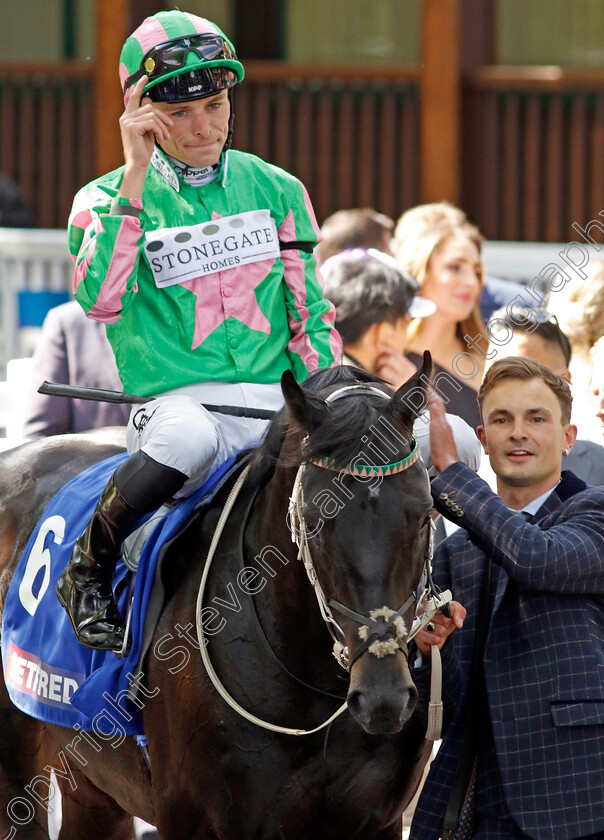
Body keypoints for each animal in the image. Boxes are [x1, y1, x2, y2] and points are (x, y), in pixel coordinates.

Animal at [2, 356, 442, 840]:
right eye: (312, 521)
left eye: (425, 515)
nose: (383, 697)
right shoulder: (189, 817)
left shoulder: (379, 822)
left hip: (95, 788)